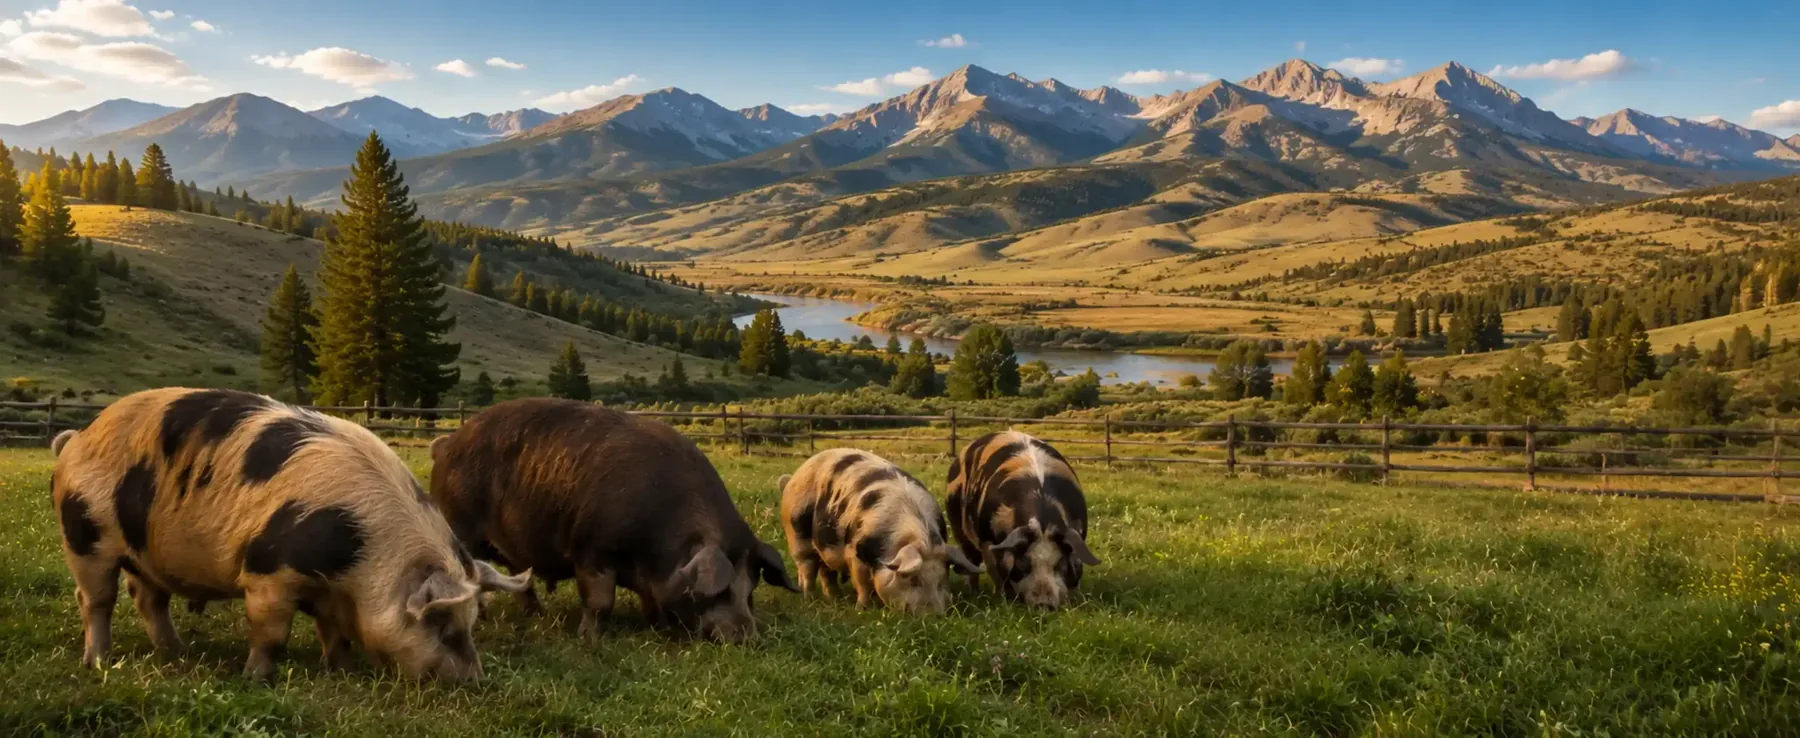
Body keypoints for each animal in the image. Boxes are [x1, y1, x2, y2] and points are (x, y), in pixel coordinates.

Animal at [49, 388, 531, 681]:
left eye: (471, 621)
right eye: (440, 623)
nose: (473, 680)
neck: (362, 565)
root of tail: (76, 437)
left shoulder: (330, 593)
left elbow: (333, 633)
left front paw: (342, 669)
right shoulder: (268, 573)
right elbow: (271, 633)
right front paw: (255, 677)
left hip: (146, 553)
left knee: (148, 598)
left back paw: (178, 652)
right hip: (84, 535)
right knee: (95, 599)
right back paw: (99, 662)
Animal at [428, 398, 798, 644]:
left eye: (750, 589)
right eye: (719, 591)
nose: (747, 637)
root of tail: (446, 445)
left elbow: (649, 600)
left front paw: (654, 625)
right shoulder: (591, 550)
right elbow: (600, 601)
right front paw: (589, 639)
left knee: (519, 579)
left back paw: (536, 615)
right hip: (458, 527)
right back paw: (482, 619)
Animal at [778, 449, 981, 613]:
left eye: (942, 580)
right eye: (913, 579)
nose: (933, 617)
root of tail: (793, 477)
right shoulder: (855, 554)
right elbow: (863, 585)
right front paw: (862, 609)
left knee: (826, 572)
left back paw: (835, 599)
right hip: (797, 534)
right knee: (807, 568)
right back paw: (811, 600)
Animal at [945, 431, 1101, 609]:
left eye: (1059, 564)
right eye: (1024, 564)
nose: (1043, 605)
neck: (1043, 523)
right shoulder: (988, 540)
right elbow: (997, 571)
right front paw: (1005, 599)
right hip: (959, 529)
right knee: (971, 560)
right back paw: (973, 593)